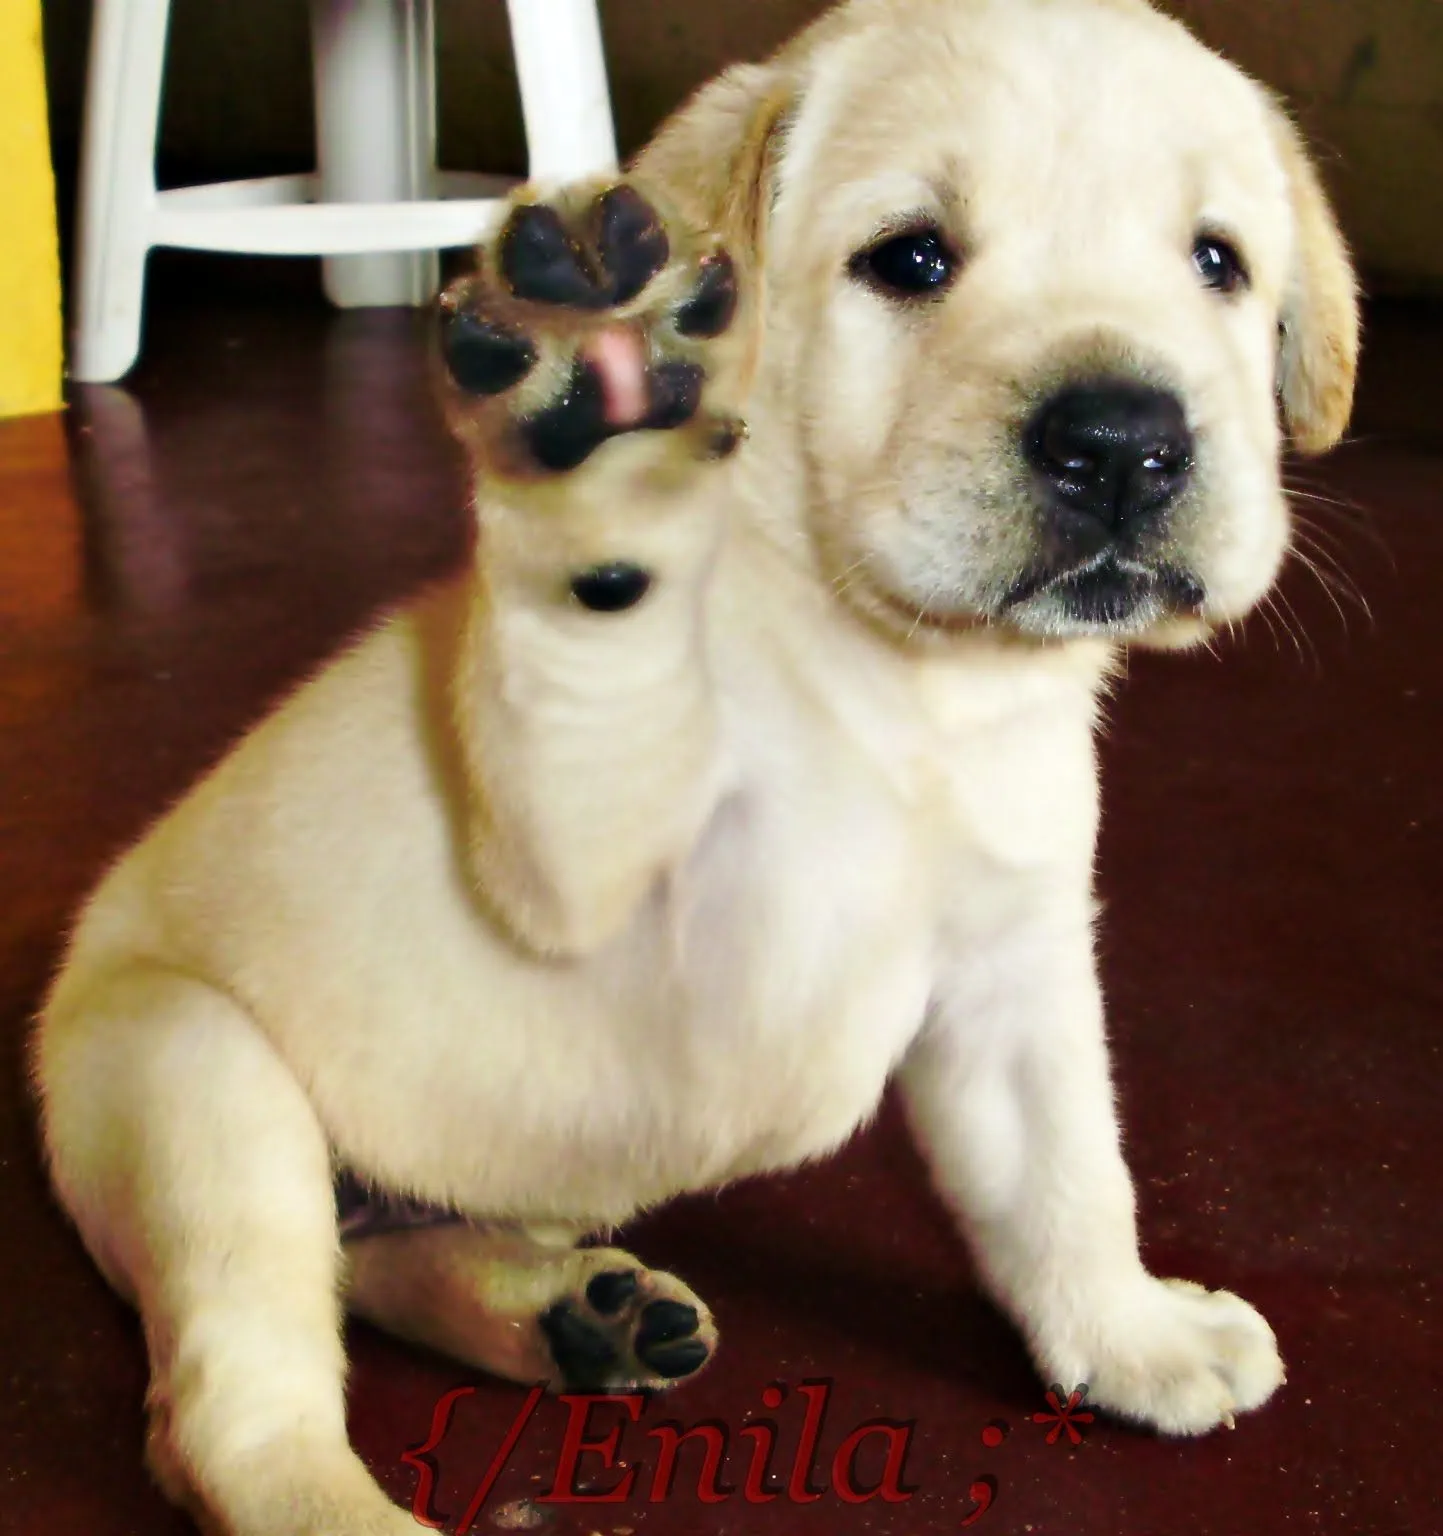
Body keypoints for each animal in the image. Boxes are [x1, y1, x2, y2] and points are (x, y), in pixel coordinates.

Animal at [36, 0, 1364, 1529]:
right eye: (910, 258)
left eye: (1216, 261)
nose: (1123, 444)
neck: (909, 679)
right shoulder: (571, 872)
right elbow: (599, 670)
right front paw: (606, 433)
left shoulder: (1013, 970)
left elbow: (1066, 1177)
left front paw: (1126, 1332)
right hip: (197, 1086)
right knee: (231, 1404)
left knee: (374, 1258)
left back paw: (567, 1316)